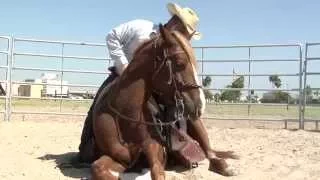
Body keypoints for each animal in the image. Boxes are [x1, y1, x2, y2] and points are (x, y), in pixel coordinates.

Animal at [90, 24, 238, 179]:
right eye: (180, 63)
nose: (200, 104)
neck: (126, 115)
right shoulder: (121, 157)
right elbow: (97, 167)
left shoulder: (157, 151)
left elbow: (156, 171)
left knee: (210, 152)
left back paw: (225, 167)